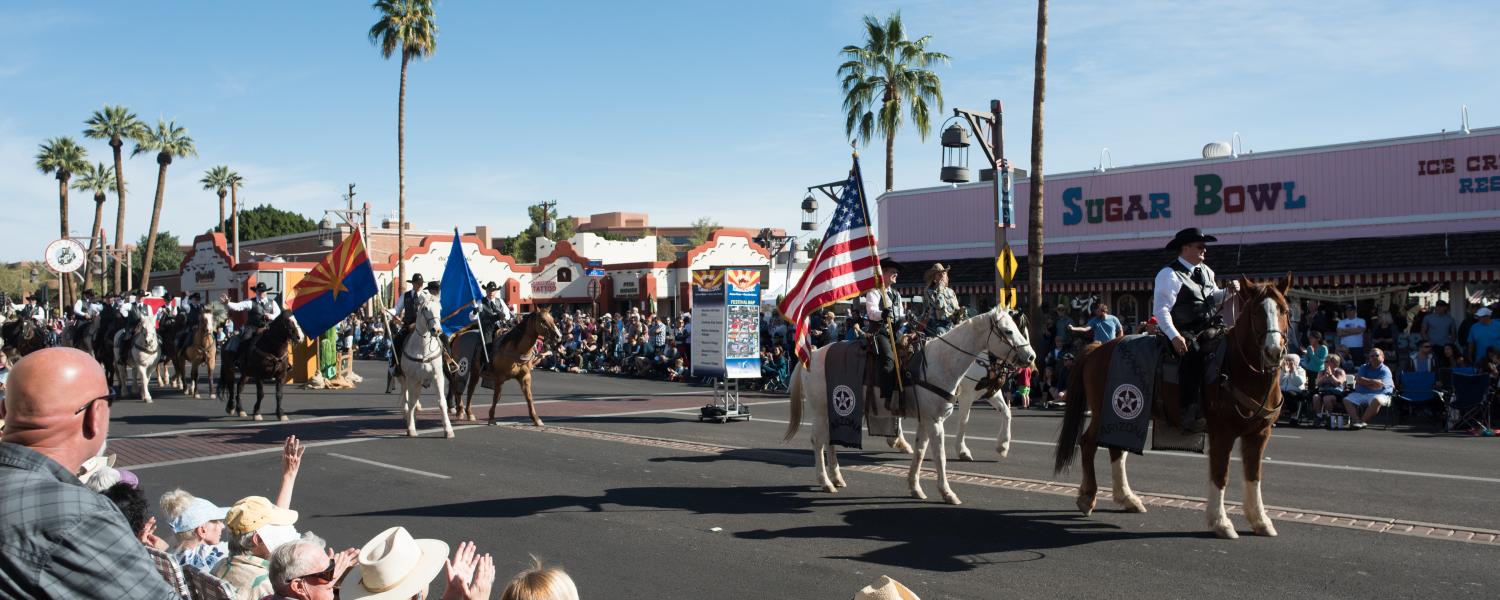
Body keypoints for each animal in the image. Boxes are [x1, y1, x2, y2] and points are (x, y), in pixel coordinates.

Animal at [396, 294, 453, 438]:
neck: (423, 349)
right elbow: (411, 402)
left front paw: (448, 430)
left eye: (440, 308)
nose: (436, 330)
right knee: (408, 399)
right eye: (425, 308)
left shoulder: (437, 376)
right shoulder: (412, 379)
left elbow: (442, 402)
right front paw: (411, 429)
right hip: (405, 379)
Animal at [786, 307, 1032, 504]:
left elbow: (921, 452)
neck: (940, 362)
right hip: (822, 411)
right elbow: (940, 455)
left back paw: (837, 477)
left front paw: (915, 487)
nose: (1031, 357)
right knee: (818, 442)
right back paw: (825, 482)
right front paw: (947, 492)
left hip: (834, 410)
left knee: (830, 442)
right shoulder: (937, 420)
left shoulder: (928, 420)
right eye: (1008, 331)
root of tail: (811, 355)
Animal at [1056, 276, 1290, 540]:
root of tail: (1098, 348)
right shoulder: (1222, 433)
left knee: (1116, 449)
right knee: (1088, 443)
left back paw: (1127, 499)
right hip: (1106, 411)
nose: (1274, 351)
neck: (1238, 368)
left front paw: (1260, 520)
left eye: (1284, 310)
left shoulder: (1259, 434)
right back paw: (1088, 497)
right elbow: (1221, 474)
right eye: (1256, 312)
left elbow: (1254, 476)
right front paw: (1220, 522)